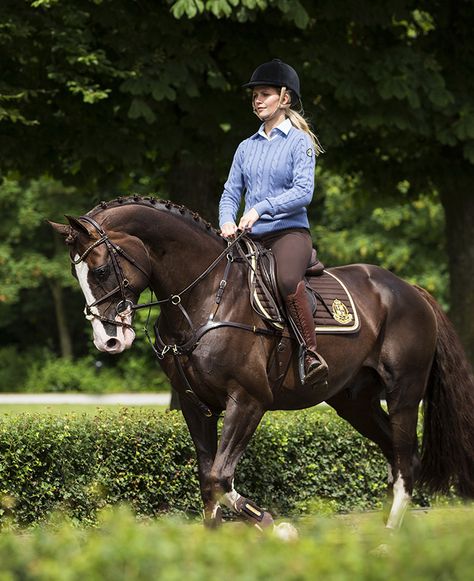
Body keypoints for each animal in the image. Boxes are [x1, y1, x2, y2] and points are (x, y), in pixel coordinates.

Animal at [50, 197, 474, 532]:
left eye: (101, 270)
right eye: (77, 273)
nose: (108, 340)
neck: (205, 299)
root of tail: (410, 289)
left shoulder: (248, 401)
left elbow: (221, 478)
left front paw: (275, 525)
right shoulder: (195, 406)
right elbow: (207, 481)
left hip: (404, 395)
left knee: (405, 462)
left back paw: (388, 536)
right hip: (355, 403)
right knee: (396, 457)